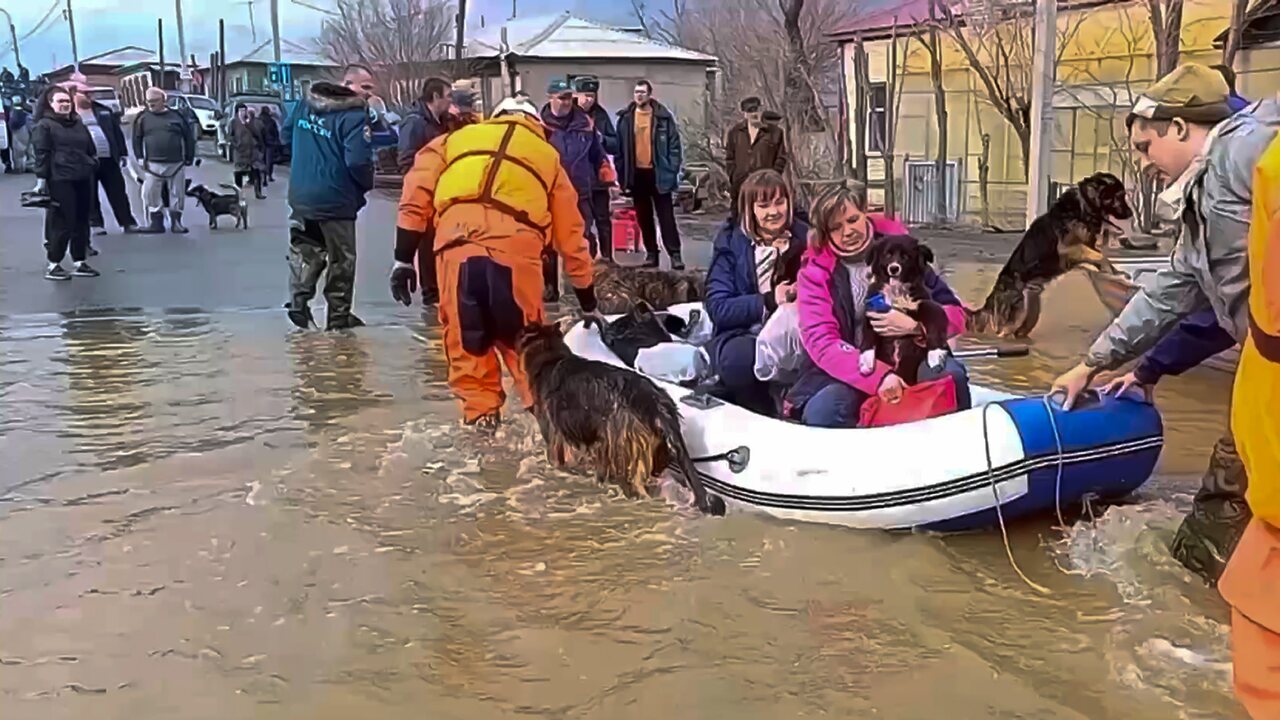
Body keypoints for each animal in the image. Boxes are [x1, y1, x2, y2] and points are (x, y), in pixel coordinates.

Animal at [962, 170, 1136, 335]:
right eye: (1119, 196)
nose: (1131, 214)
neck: (1083, 205)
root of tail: (993, 296)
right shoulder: (1068, 247)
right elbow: (1101, 256)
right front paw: (1111, 270)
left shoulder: (1088, 246)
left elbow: (1099, 256)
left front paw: (1115, 272)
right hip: (1009, 319)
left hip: (1029, 313)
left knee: (1020, 331)